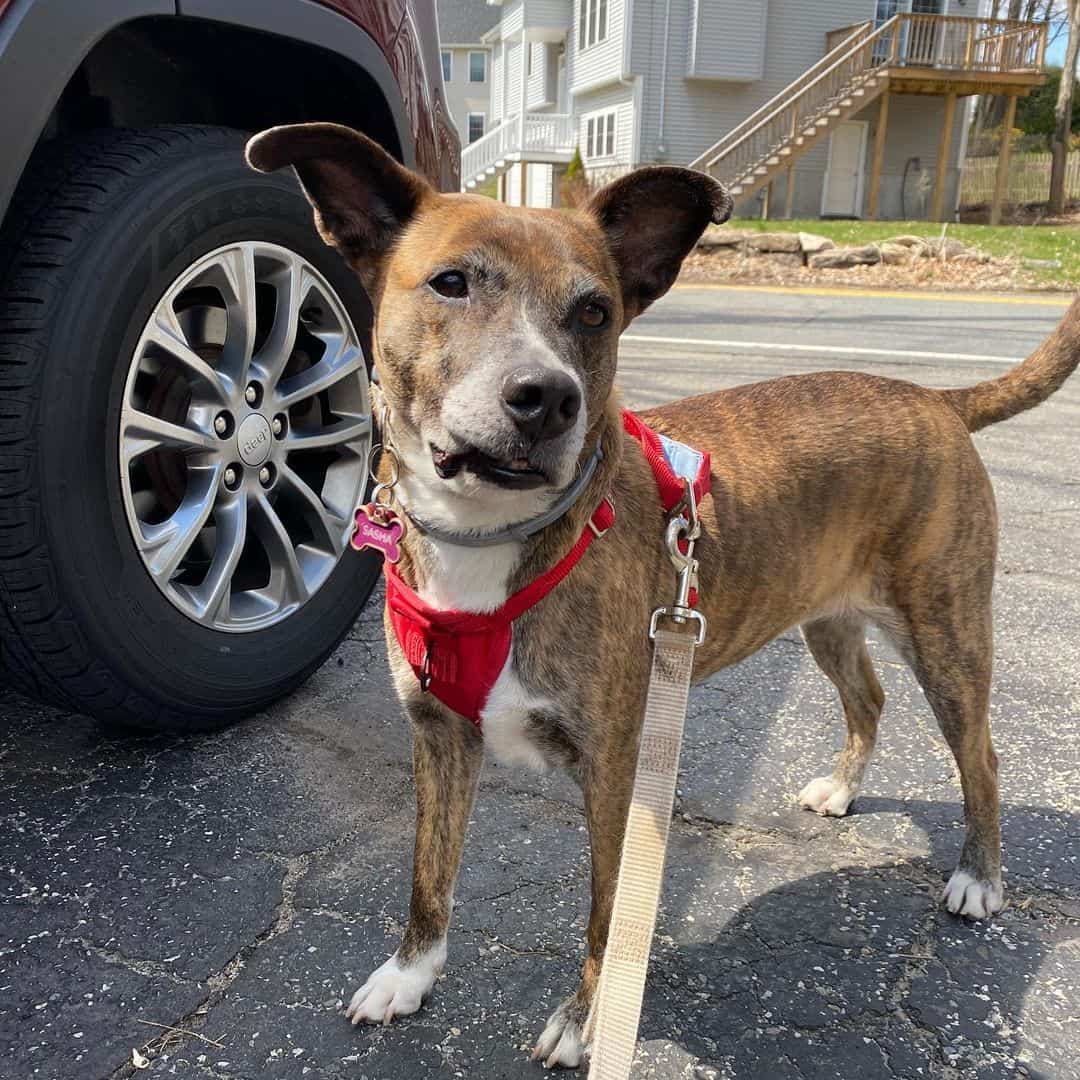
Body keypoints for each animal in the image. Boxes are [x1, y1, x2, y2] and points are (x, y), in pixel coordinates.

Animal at [247, 122, 1080, 1067]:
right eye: (451, 282)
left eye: (595, 312)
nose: (547, 398)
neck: (491, 538)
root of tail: (935, 399)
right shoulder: (440, 737)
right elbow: (431, 872)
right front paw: (410, 972)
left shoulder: (617, 771)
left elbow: (609, 919)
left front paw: (586, 1021)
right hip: (827, 619)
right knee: (867, 698)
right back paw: (841, 789)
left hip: (946, 633)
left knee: (981, 754)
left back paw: (979, 874)